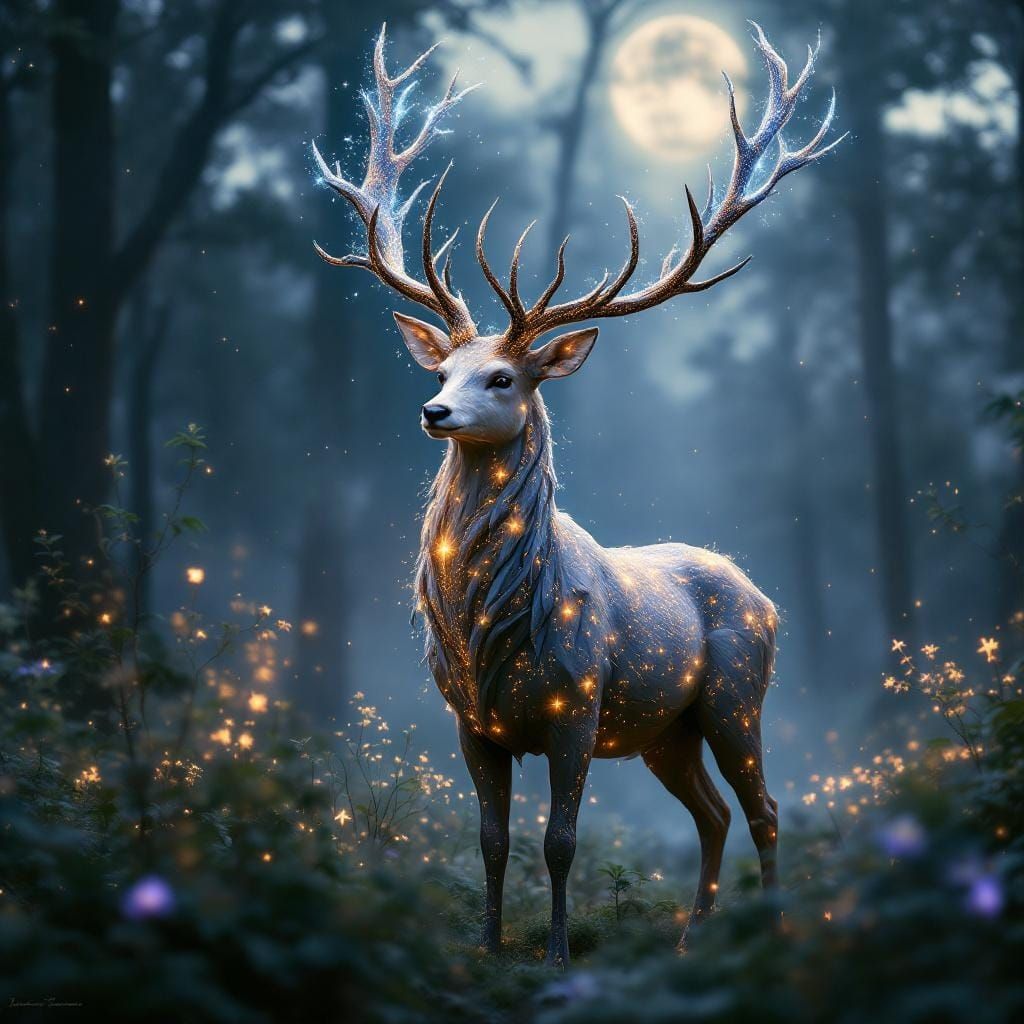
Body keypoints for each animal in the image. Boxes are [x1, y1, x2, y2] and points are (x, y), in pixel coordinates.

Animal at [311, 22, 843, 966]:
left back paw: (769, 932)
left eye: (503, 377)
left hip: (736, 694)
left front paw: (557, 954)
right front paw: (489, 947)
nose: (433, 410)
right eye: (442, 370)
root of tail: (762, 593)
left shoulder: (577, 705)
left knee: (766, 809)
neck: (493, 624)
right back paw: (690, 935)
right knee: (712, 814)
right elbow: (491, 841)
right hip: (667, 730)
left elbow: (560, 843)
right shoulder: (470, 720)